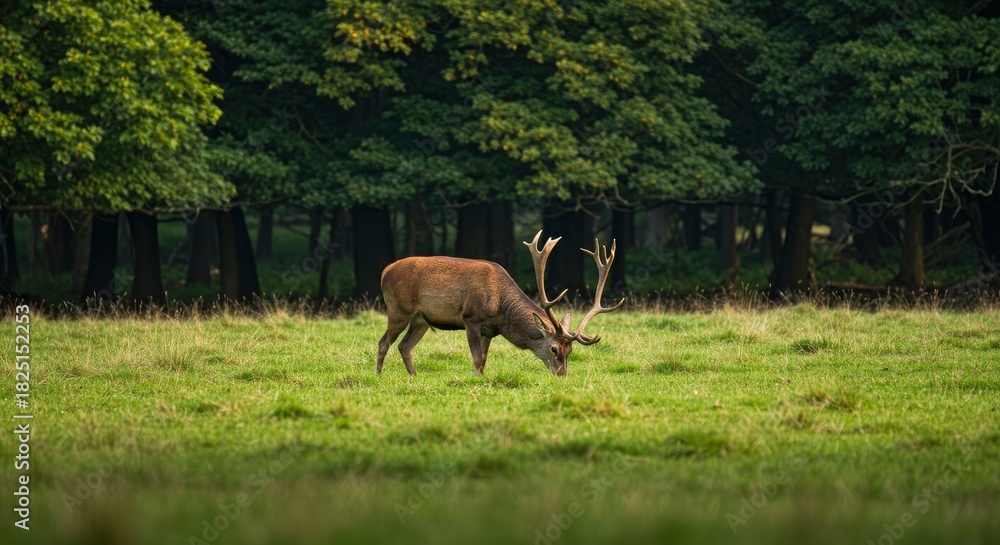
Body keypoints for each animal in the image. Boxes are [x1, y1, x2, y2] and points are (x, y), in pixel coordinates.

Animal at [376, 230, 624, 376]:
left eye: (570, 350)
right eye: (554, 348)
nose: (561, 375)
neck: (501, 310)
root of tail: (384, 272)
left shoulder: (490, 330)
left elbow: (484, 359)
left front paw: (481, 379)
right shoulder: (471, 319)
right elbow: (477, 358)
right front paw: (476, 380)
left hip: (422, 320)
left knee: (405, 346)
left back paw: (414, 376)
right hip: (398, 310)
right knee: (383, 343)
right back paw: (378, 375)